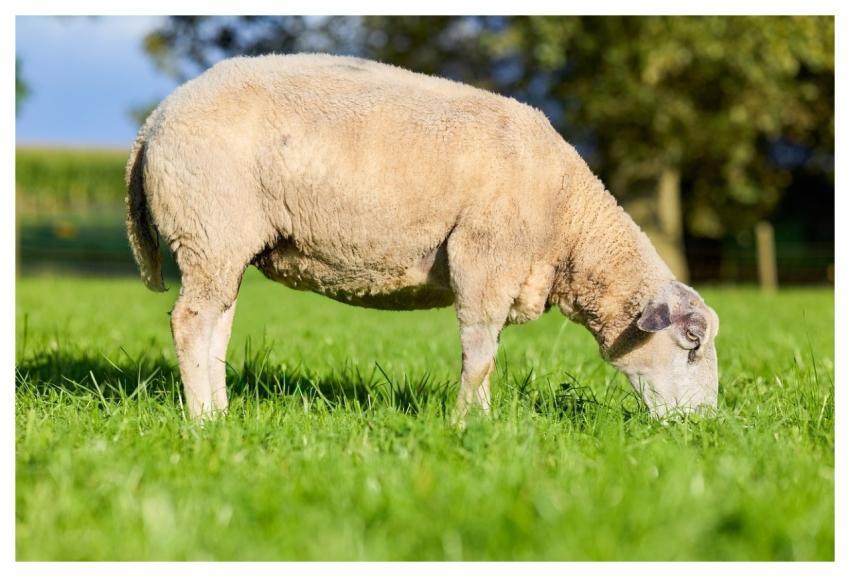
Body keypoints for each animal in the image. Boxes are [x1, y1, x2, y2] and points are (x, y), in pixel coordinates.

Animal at [126, 53, 720, 419]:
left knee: (216, 328)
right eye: (692, 343)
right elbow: (479, 356)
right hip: (208, 227)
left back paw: (221, 413)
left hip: (222, 243)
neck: (570, 223)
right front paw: (463, 426)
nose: (706, 426)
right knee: (190, 323)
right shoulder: (484, 259)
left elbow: (490, 356)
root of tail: (155, 121)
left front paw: (486, 424)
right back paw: (202, 421)